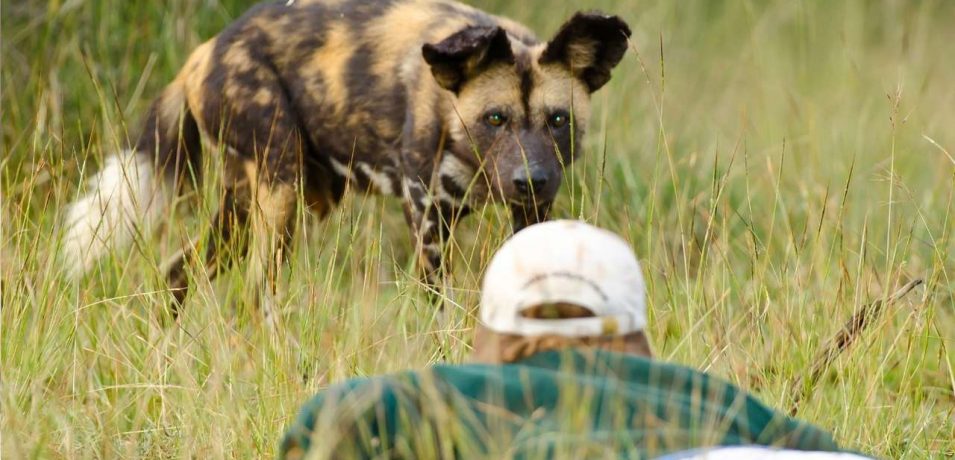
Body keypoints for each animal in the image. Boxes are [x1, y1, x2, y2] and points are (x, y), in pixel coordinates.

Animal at [58, 0, 628, 318]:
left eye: (558, 120)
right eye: (494, 119)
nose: (530, 179)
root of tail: (204, 51)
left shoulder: (531, 215)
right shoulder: (427, 216)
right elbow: (441, 310)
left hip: (264, 207)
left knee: (176, 272)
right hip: (280, 195)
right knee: (255, 296)